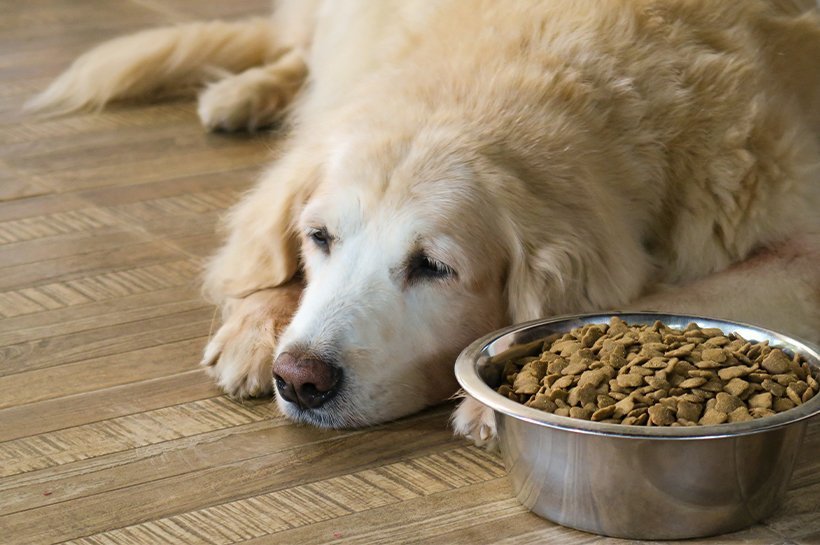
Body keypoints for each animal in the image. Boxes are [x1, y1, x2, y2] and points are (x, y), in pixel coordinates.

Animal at [28, 1, 816, 446]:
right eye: (319, 239)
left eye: (434, 268)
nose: (299, 379)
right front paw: (258, 321)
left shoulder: (796, 244)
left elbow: (678, 300)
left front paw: (496, 402)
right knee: (293, 51)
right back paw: (245, 92)